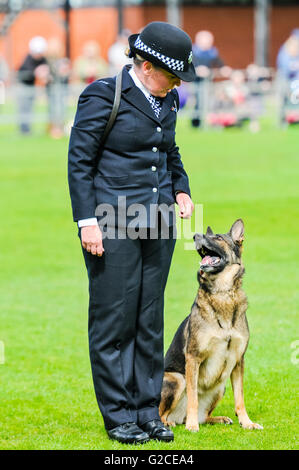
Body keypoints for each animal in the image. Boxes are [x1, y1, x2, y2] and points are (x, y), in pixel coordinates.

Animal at [159, 218, 262, 432]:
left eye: (218, 238)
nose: (195, 235)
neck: (223, 293)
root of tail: (177, 417)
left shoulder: (238, 360)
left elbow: (240, 398)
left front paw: (246, 422)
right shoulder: (193, 358)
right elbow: (192, 397)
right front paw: (192, 427)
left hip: (220, 386)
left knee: (204, 416)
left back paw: (216, 418)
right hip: (177, 379)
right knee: (160, 413)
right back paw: (172, 423)